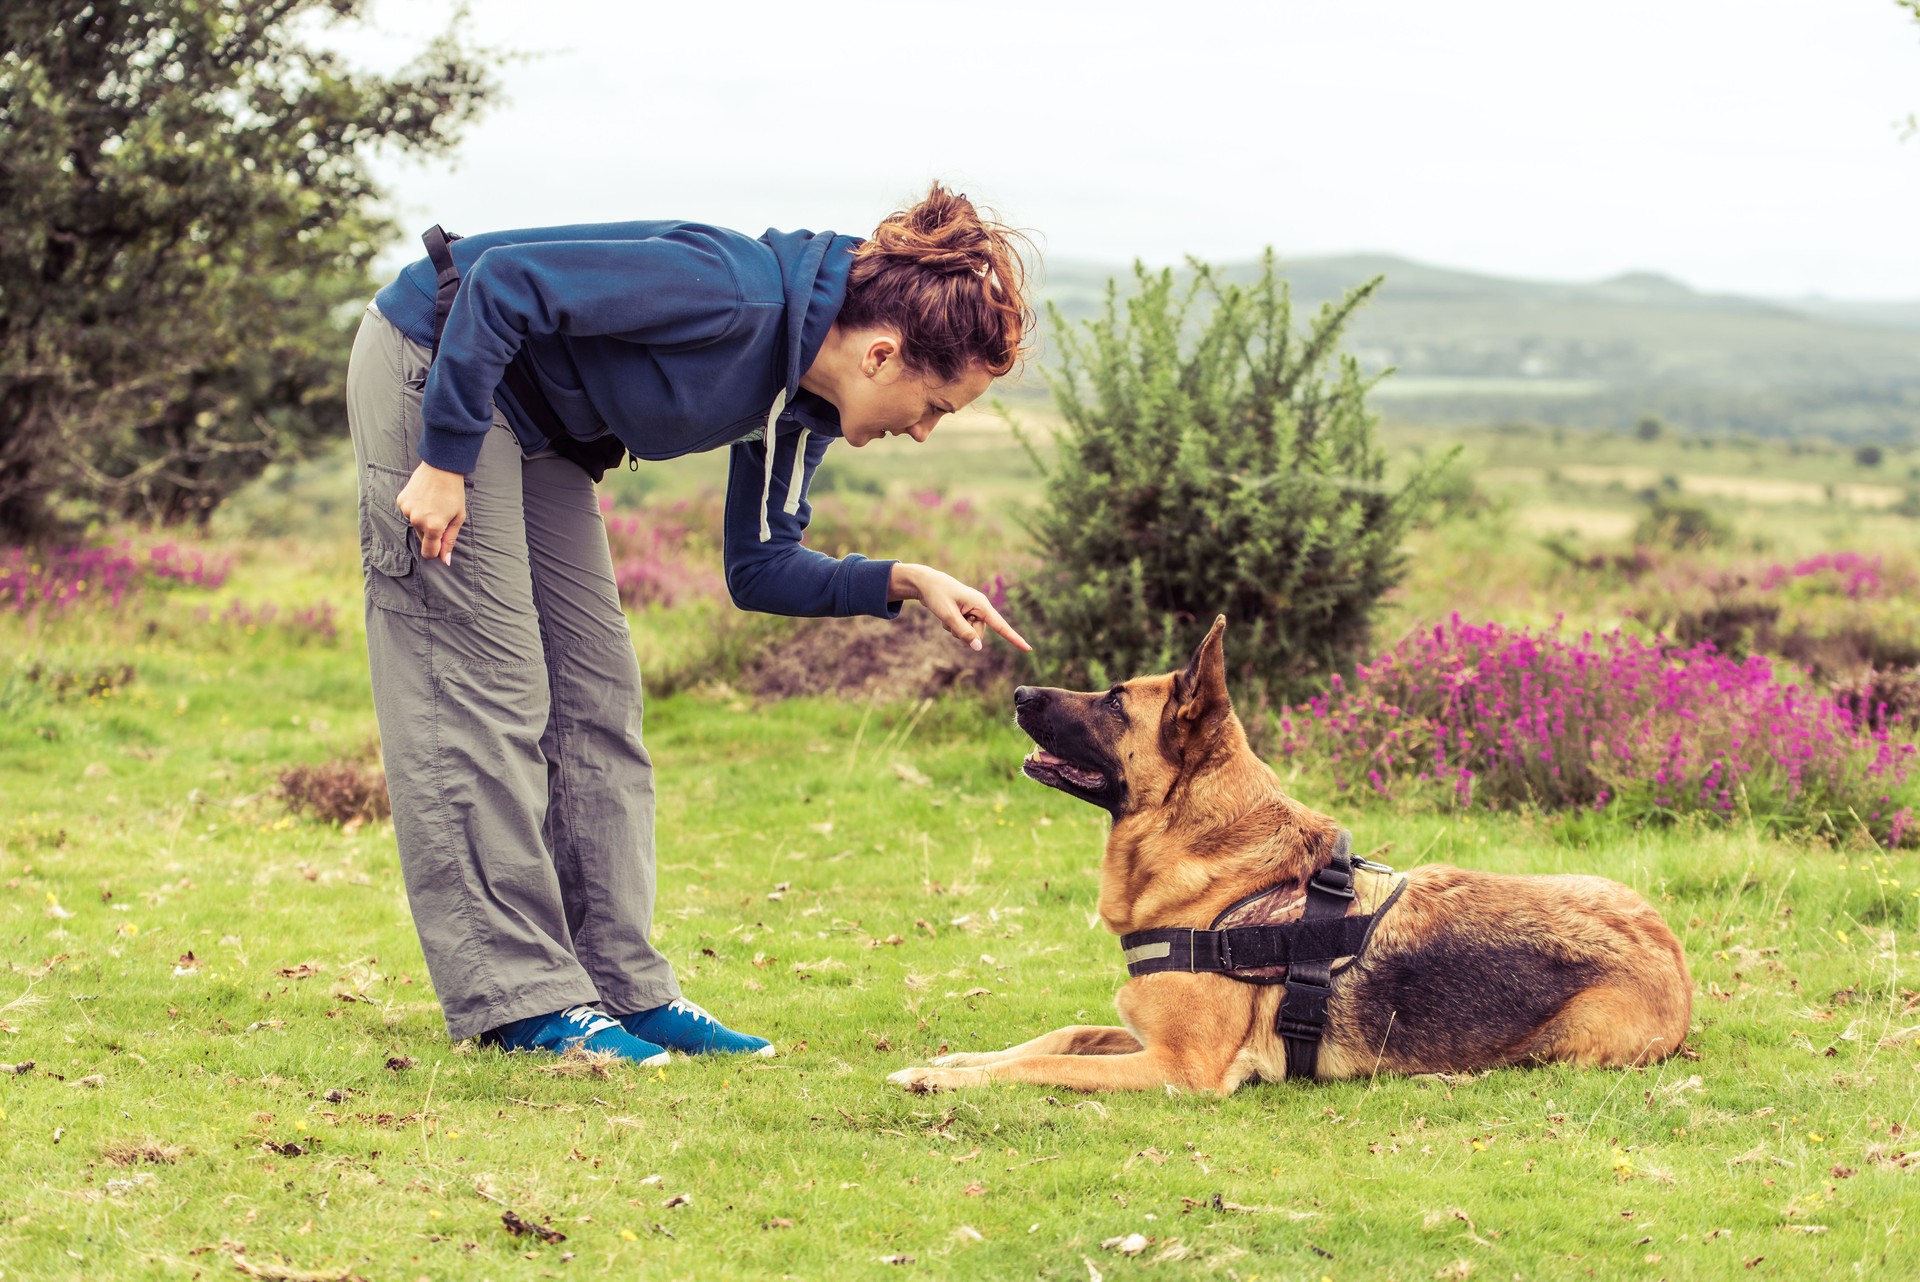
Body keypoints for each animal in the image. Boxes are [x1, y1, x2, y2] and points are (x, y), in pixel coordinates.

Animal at [890, 617, 1689, 1090]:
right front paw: (954, 1060)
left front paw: (946, 1080)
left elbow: (1045, 1065)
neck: (1209, 859)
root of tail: (1675, 959)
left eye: (1115, 702)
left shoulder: (1179, 1067)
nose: (1020, 690)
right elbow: (1061, 1036)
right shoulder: (1139, 1037)